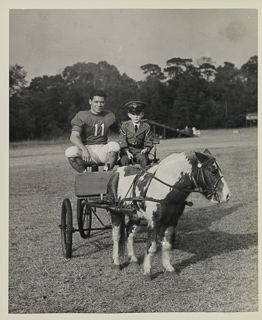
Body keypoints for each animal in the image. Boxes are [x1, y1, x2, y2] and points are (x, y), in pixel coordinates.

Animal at [106, 149, 229, 278]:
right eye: (213, 171)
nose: (227, 195)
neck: (164, 190)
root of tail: (116, 172)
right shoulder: (154, 222)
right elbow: (152, 246)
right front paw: (147, 271)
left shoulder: (172, 221)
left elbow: (167, 245)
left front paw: (169, 268)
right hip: (115, 212)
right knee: (116, 237)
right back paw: (116, 262)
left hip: (135, 216)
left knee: (130, 235)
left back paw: (133, 259)